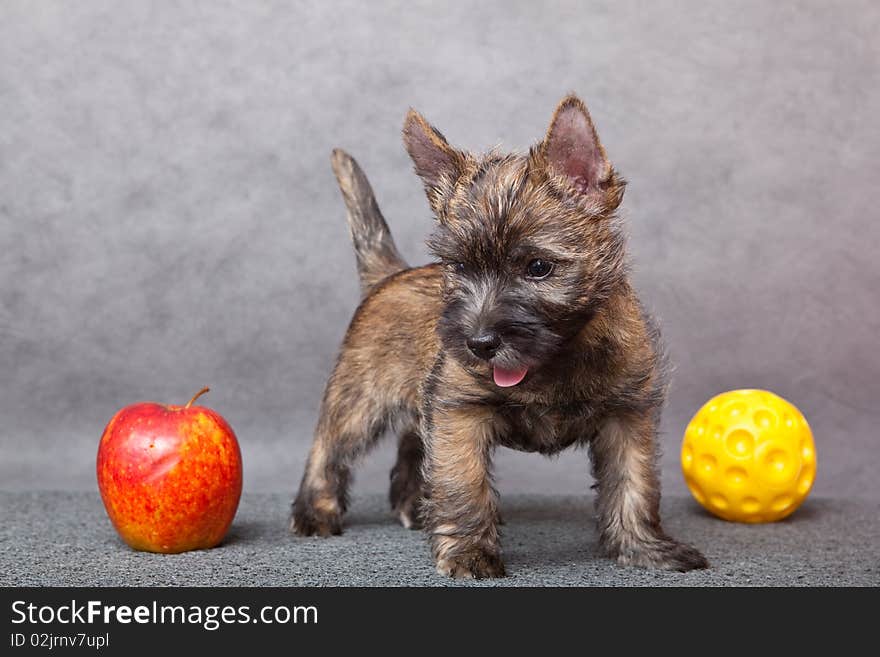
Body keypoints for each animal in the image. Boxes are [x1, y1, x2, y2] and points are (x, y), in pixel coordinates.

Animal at [292, 95, 712, 576]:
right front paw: (469, 552)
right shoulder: (460, 413)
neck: (557, 360)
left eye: (538, 267)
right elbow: (463, 483)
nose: (479, 344)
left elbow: (634, 484)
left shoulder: (629, 415)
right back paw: (315, 512)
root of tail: (390, 274)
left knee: (413, 445)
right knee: (328, 448)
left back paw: (413, 506)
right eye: (458, 267)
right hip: (359, 400)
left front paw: (645, 548)